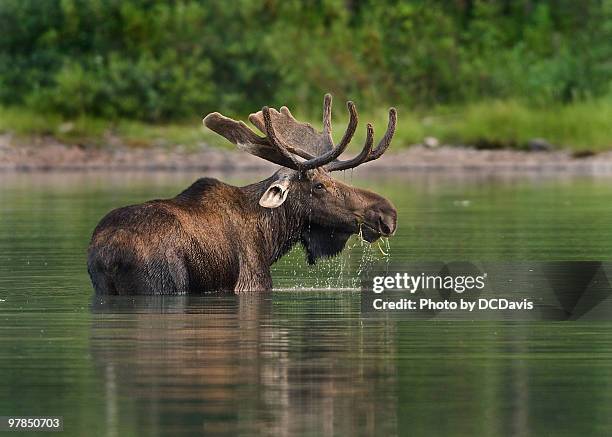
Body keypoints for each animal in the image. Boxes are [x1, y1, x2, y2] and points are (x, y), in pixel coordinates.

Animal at [88, 95, 400, 292]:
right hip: (161, 284)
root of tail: (108, 252)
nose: (387, 214)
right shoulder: (253, 281)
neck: (272, 236)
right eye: (319, 185)